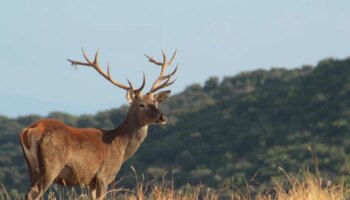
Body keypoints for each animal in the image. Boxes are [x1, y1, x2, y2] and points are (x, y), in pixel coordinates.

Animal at [19, 48, 178, 200]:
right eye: (142, 105)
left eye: (156, 103)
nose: (163, 117)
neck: (120, 146)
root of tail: (29, 130)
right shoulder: (104, 175)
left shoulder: (91, 181)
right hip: (51, 166)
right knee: (32, 195)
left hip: (32, 168)